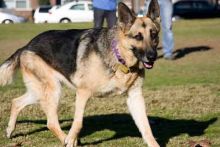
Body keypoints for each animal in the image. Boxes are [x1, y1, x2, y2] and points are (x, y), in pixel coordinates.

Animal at [0, 0, 160, 146]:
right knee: (51, 122)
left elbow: (146, 127)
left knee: (16, 102)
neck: (119, 57)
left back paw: (10, 130)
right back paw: (66, 139)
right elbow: (78, 122)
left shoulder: (135, 97)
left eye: (153, 35)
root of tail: (27, 45)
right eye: (138, 36)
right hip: (53, 90)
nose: (152, 57)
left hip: (39, 92)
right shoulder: (83, 92)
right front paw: (71, 139)